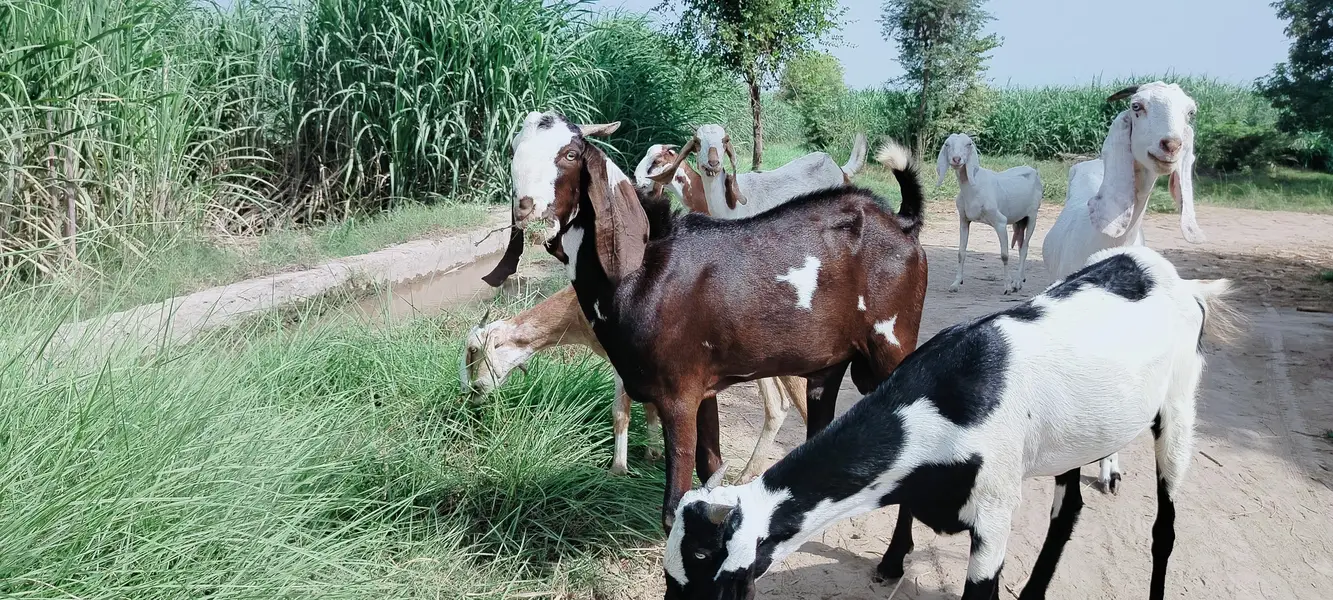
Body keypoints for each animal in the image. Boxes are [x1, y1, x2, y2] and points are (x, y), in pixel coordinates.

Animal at [664, 245, 1238, 600]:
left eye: (702, 556)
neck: (948, 402)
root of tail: (1181, 283)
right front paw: (892, 562)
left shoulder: (994, 519)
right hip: (1071, 436)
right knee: (1069, 506)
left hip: (1178, 408)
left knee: (1164, 525)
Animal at [935, 133, 1042, 294]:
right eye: (947, 144)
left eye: (969, 144)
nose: (956, 159)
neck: (974, 188)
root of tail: (1034, 170)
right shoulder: (964, 219)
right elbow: (961, 252)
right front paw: (956, 283)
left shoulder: (1000, 222)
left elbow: (1004, 255)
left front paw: (1007, 287)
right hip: (1019, 219)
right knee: (1021, 244)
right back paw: (1020, 279)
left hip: (1032, 215)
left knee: (1024, 248)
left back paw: (1016, 282)